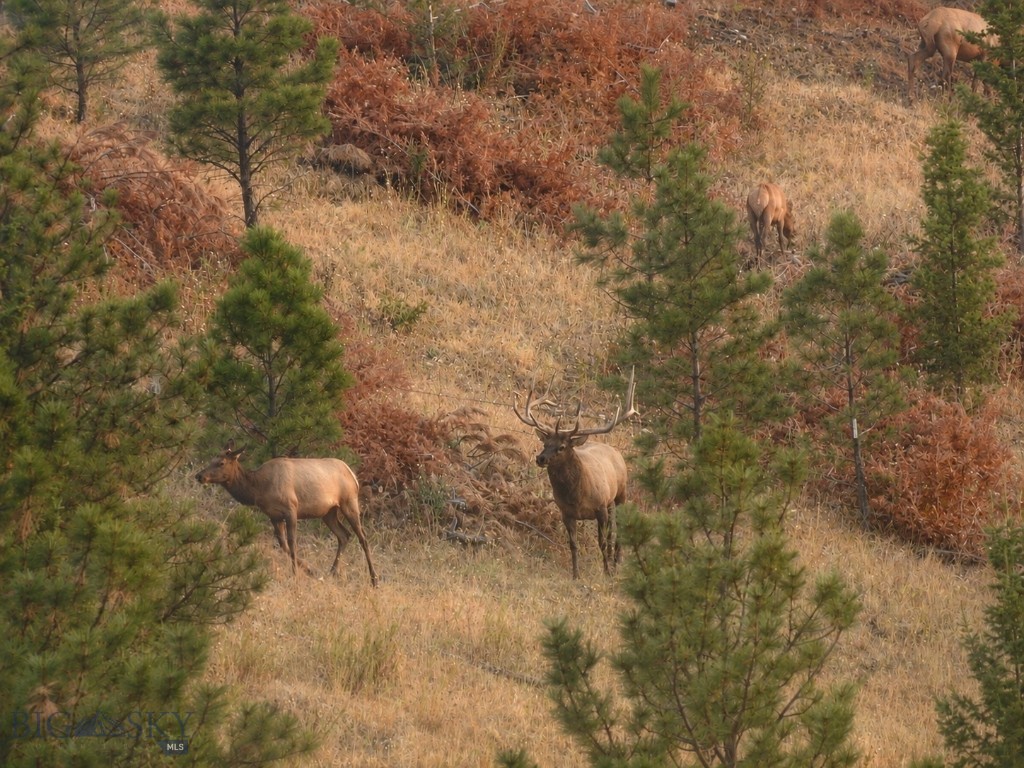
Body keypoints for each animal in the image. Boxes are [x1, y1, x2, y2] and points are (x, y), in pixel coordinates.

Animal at [195, 441, 378, 587]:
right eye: (211, 460)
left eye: (221, 463)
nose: (199, 476)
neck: (258, 489)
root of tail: (353, 476)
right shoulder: (274, 516)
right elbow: (283, 545)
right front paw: (310, 570)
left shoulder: (291, 510)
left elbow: (292, 543)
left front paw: (296, 575)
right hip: (328, 513)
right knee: (344, 535)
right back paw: (332, 573)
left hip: (349, 502)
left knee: (363, 538)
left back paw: (374, 579)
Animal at [514, 368, 639, 580]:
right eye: (545, 443)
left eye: (562, 447)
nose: (540, 458)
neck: (576, 496)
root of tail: (614, 450)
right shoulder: (566, 512)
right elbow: (573, 544)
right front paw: (575, 574)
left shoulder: (600, 507)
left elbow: (601, 542)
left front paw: (606, 571)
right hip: (610, 502)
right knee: (612, 532)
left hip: (620, 493)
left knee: (618, 528)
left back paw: (616, 562)